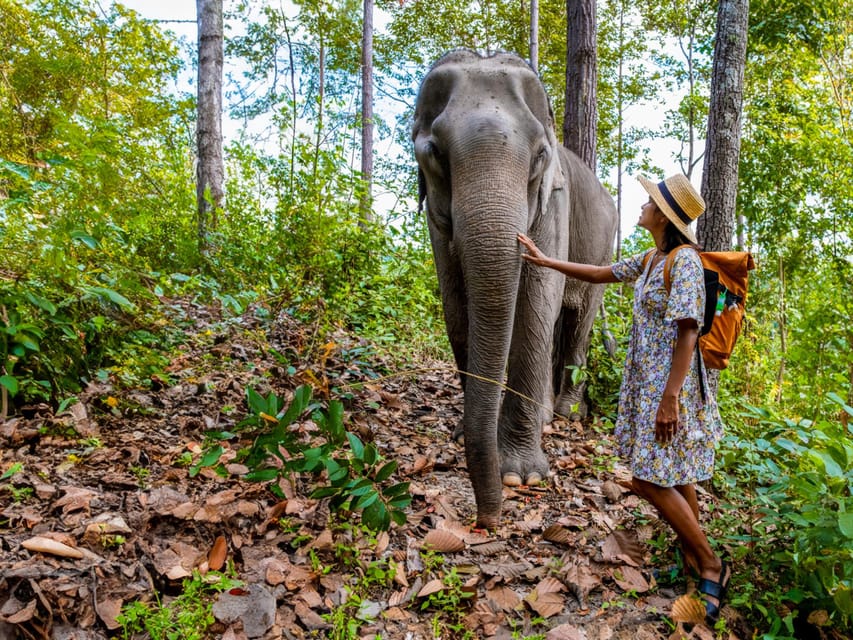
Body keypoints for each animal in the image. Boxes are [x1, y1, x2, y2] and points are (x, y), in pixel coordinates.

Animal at [412, 50, 618, 529]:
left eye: (541, 155)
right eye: (434, 153)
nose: (487, 519)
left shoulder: (555, 203)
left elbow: (537, 297)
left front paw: (520, 476)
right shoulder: (436, 216)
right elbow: (455, 302)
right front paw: (462, 434)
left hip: (603, 246)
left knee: (577, 322)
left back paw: (563, 415)